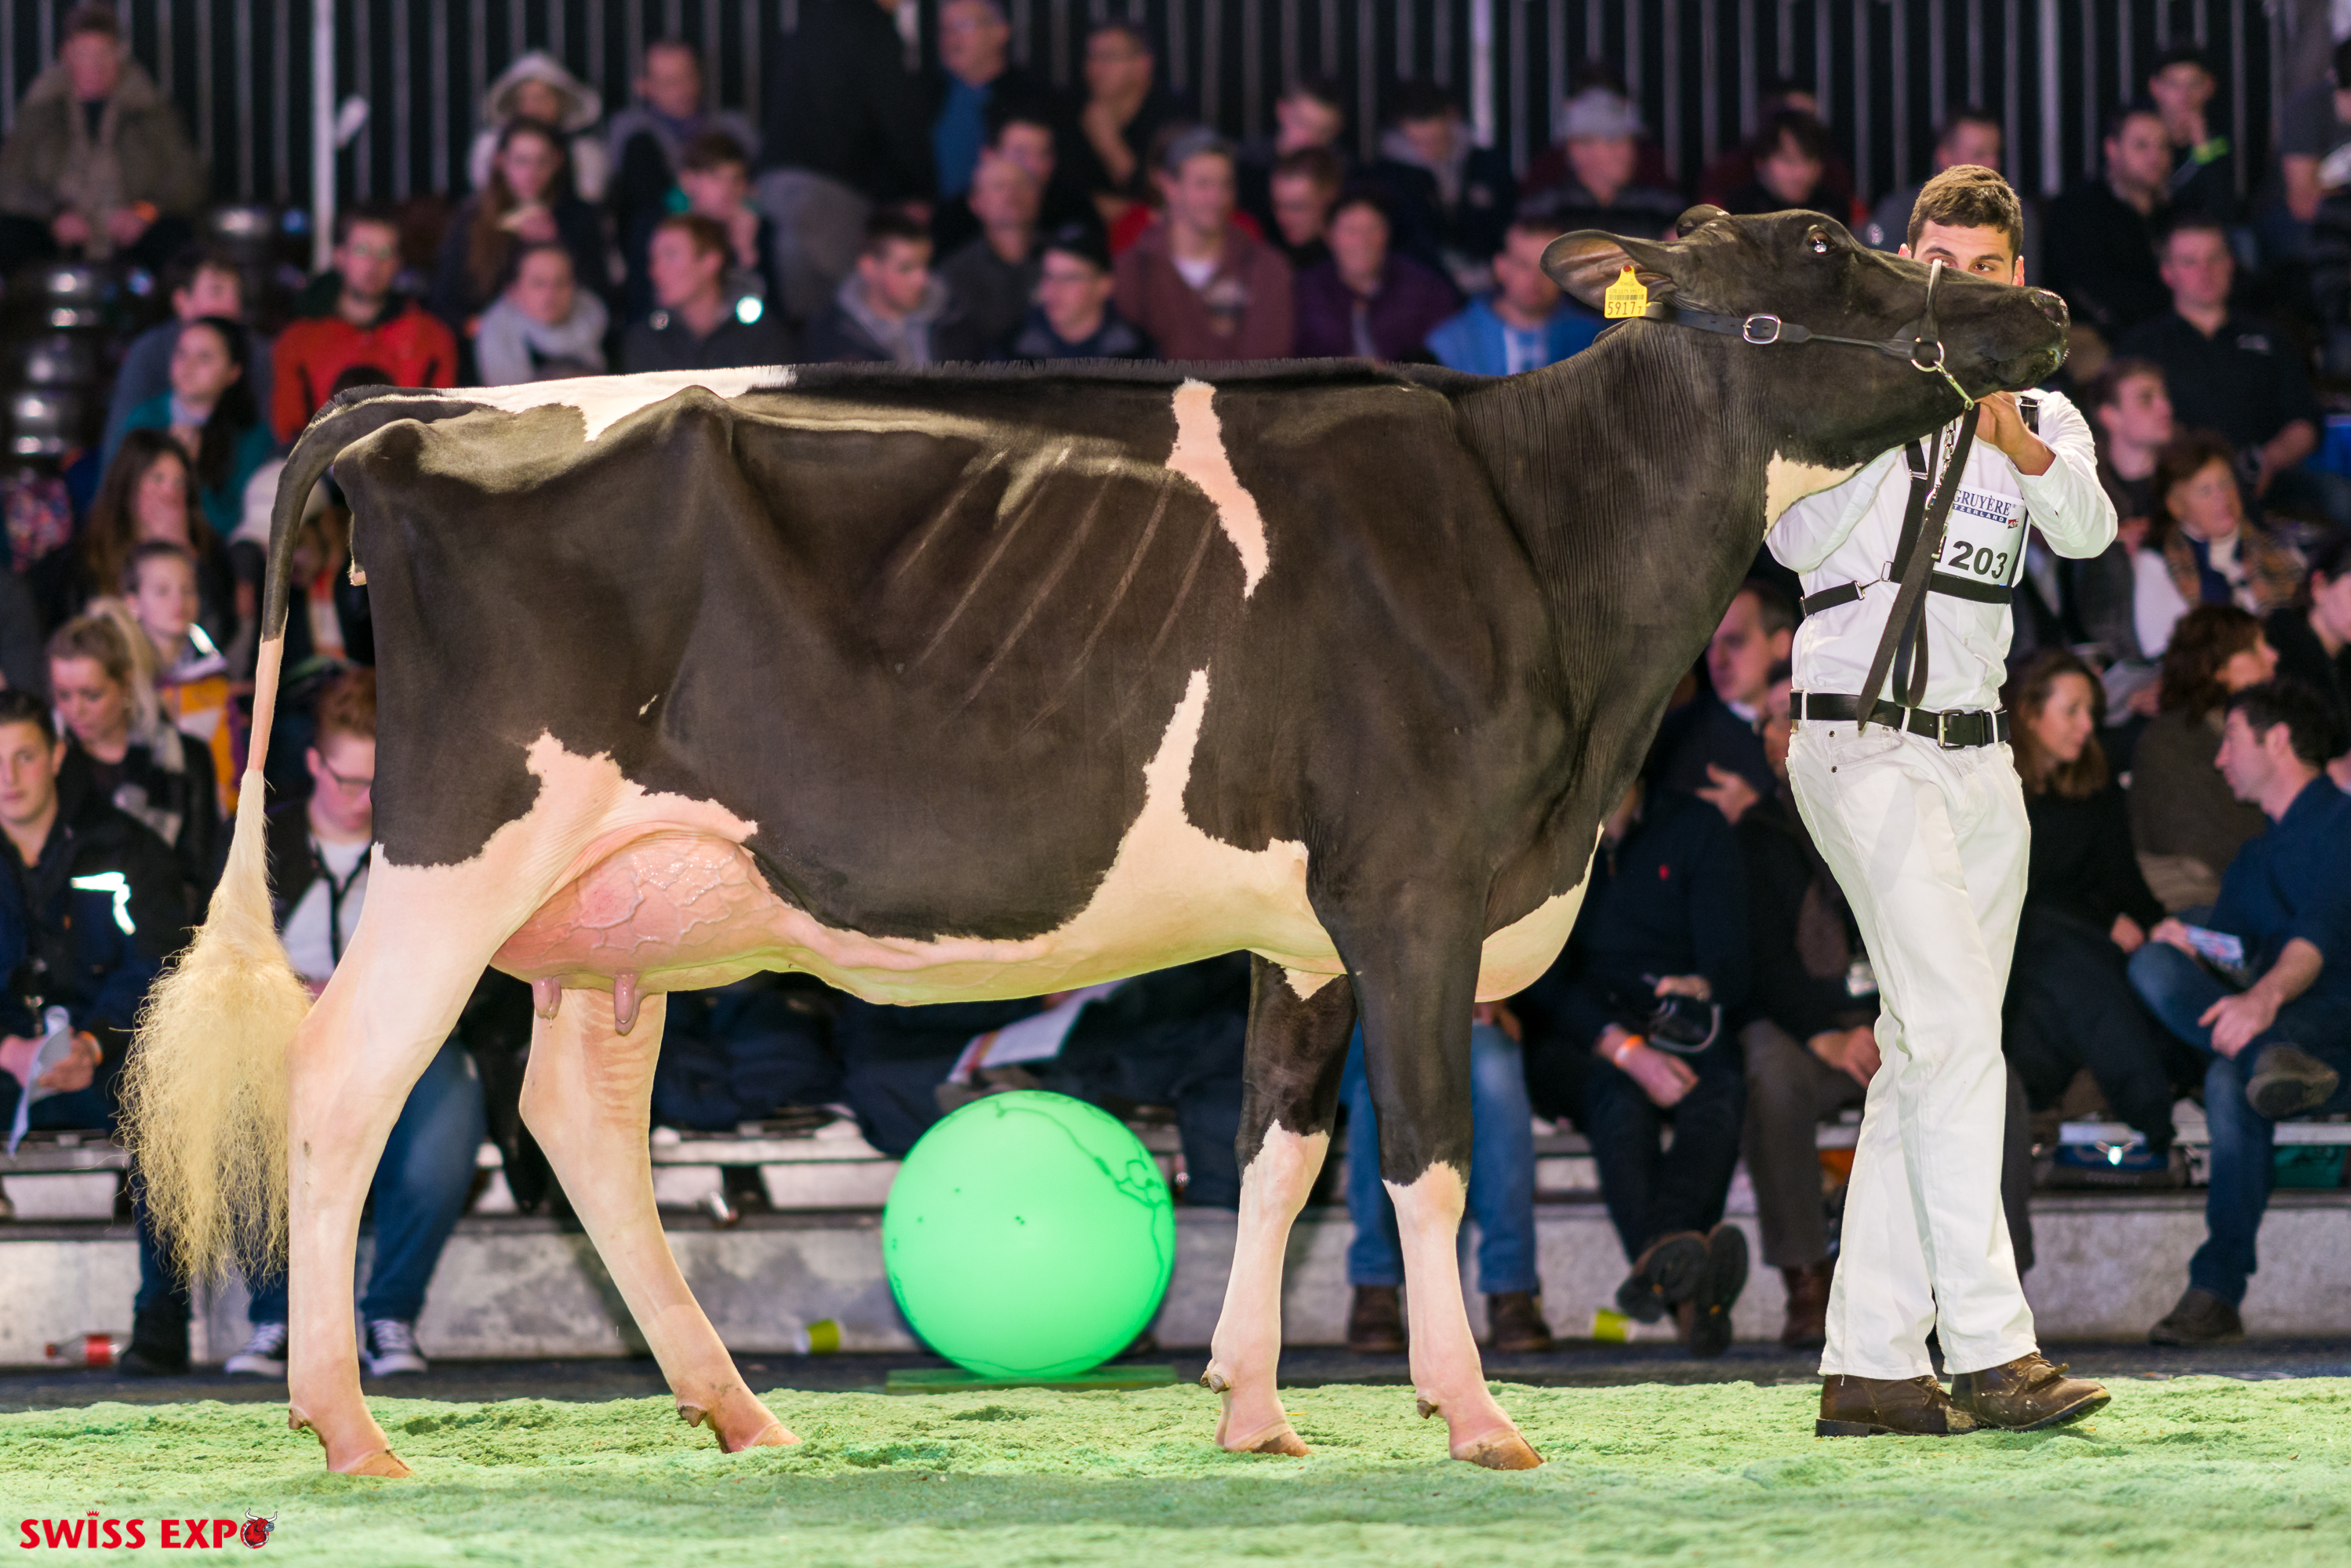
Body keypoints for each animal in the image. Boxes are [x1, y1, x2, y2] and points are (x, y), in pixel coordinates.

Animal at [124, 209, 2067, 1477]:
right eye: (1819, 253)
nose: (2038, 303)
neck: (1544, 553)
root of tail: (433, 410)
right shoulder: (1416, 891)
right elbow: (1424, 1160)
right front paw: (1472, 1413)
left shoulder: (1307, 931)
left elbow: (1284, 1156)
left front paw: (1255, 1408)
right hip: (462, 846)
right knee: (345, 1080)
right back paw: (347, 1426)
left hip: (625, 902)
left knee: (580, 1120)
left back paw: (734, 1409)